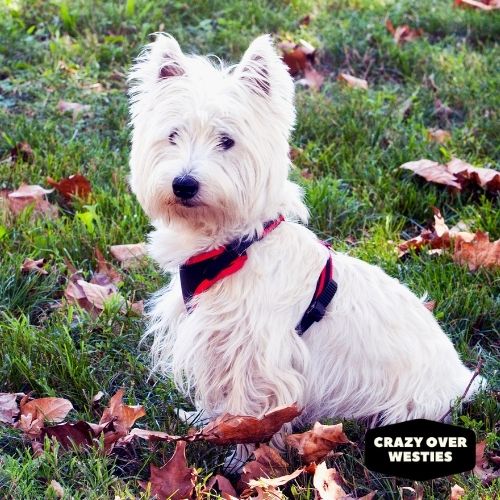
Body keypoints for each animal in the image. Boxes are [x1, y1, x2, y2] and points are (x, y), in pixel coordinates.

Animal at [127, 33, 482, 458]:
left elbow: (252, 410)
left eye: (227, 141)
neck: (231, 246)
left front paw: (244, 455)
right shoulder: (214, 340)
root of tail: (464, 379)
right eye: (173, 135)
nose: (183, 184)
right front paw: (207, 423)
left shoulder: (258, 354)